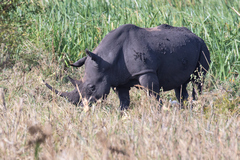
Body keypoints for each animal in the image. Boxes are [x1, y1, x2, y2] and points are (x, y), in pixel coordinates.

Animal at [43, 23, 210, 110]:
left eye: (92, 87)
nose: (82, 106)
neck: (107, 60)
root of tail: (197, 35)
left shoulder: (146, 71)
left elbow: (153, 94)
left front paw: (159, 111)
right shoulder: (119, 78)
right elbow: (124, 101)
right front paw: (121, 114)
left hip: (202, 46)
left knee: (199, 79)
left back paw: (197, 104)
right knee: (180, 85)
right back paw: (185, 109)